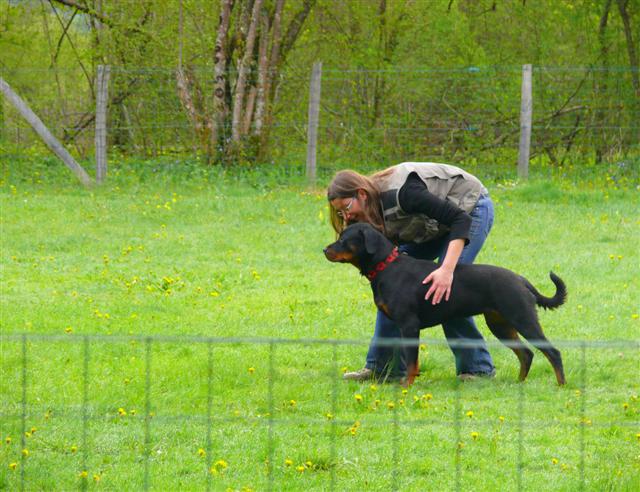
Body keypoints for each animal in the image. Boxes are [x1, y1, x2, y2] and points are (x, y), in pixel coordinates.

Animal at [322, 221, 568, 386]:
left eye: (344, 238)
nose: (324, 249)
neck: (386, 267)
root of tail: (520, 279)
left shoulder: (409, 325)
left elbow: (411, 361)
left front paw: (406, 386)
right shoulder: (400, 326)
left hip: (522, 318)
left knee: (552, 352)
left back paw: (561, 384)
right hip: (500, 324)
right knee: (526, 354)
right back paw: (519, 382)